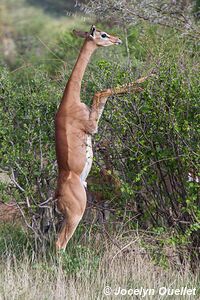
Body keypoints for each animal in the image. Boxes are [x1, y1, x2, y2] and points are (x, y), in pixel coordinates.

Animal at [54, 24, 145, 250]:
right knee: (60, 243)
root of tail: (57, 197)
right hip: (76, 214)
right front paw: (143, 81)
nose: (117, 39)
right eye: (103, 34)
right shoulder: (92, 127)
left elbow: (101, 91)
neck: (69, 103)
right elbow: (101, 92)